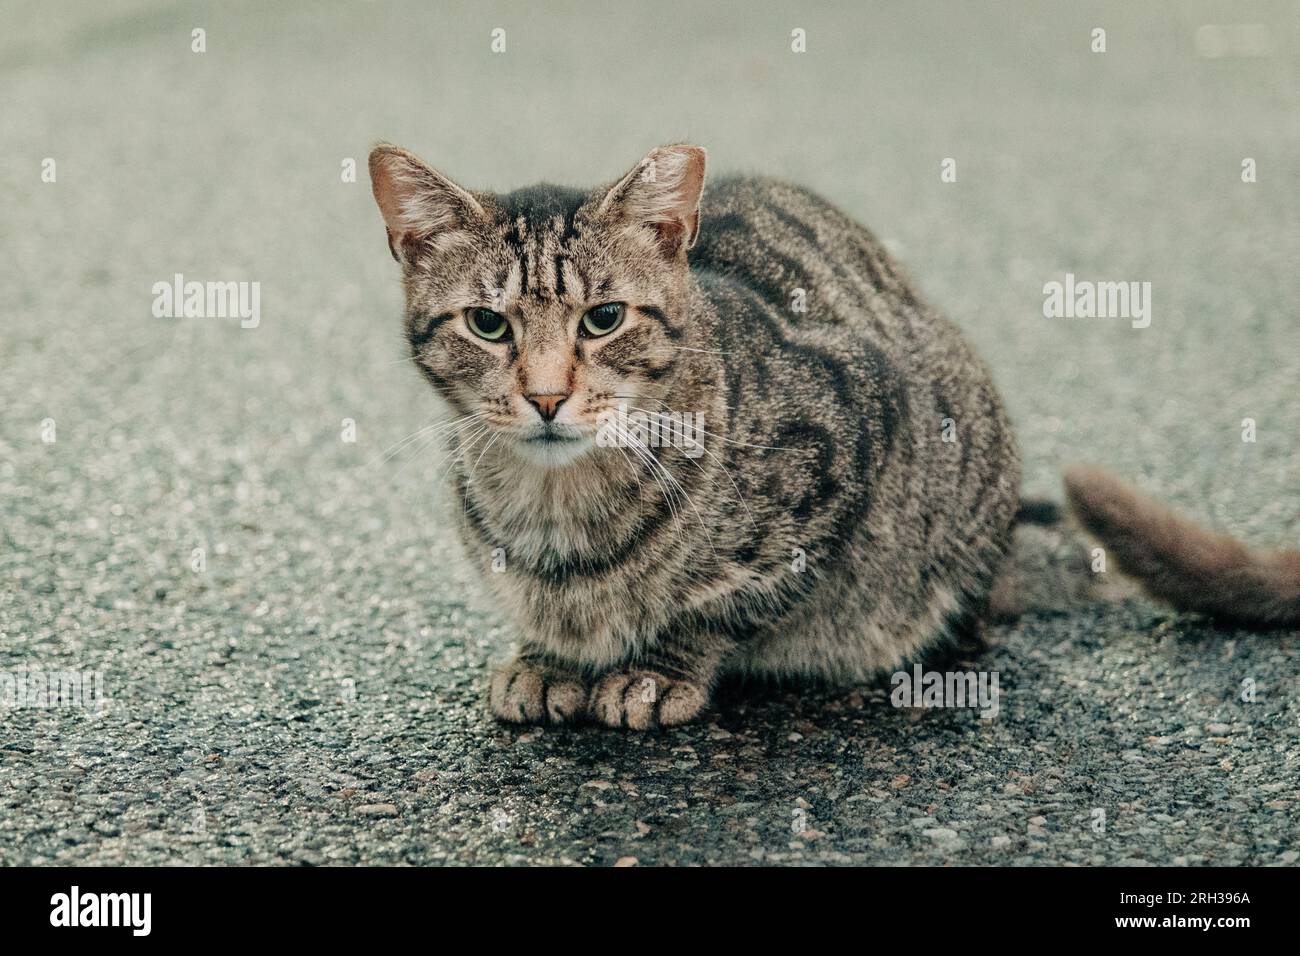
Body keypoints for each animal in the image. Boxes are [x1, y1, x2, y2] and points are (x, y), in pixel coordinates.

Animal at [369, 141, 1300, 728]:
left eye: (603, 319)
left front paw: (656, 668)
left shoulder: (845, 445)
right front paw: (550, 658)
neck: (557, 505)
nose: (547, 396)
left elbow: (721, 604)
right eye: (488, 324)